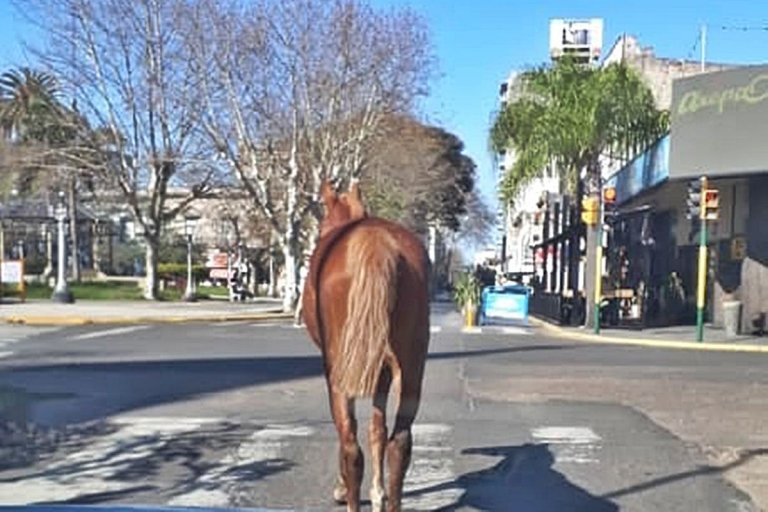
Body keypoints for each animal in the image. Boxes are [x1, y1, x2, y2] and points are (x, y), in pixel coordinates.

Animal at [302, 180, 431, 512]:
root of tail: (378, 242)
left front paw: (345, 488)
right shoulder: (382, 370)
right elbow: (378, 428)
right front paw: (378, 492)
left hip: (338, 370)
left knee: (350, 445)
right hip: (411, 367)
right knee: (399, 442)